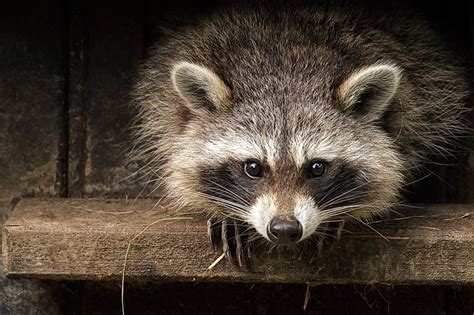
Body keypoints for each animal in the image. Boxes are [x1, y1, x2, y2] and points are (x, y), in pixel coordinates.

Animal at [131, 1, 470, 266]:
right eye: (253, 167)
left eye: (317, 167)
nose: (284, 229)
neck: (285, 72)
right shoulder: (163, 108)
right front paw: (224, 213)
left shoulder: (421, 103)